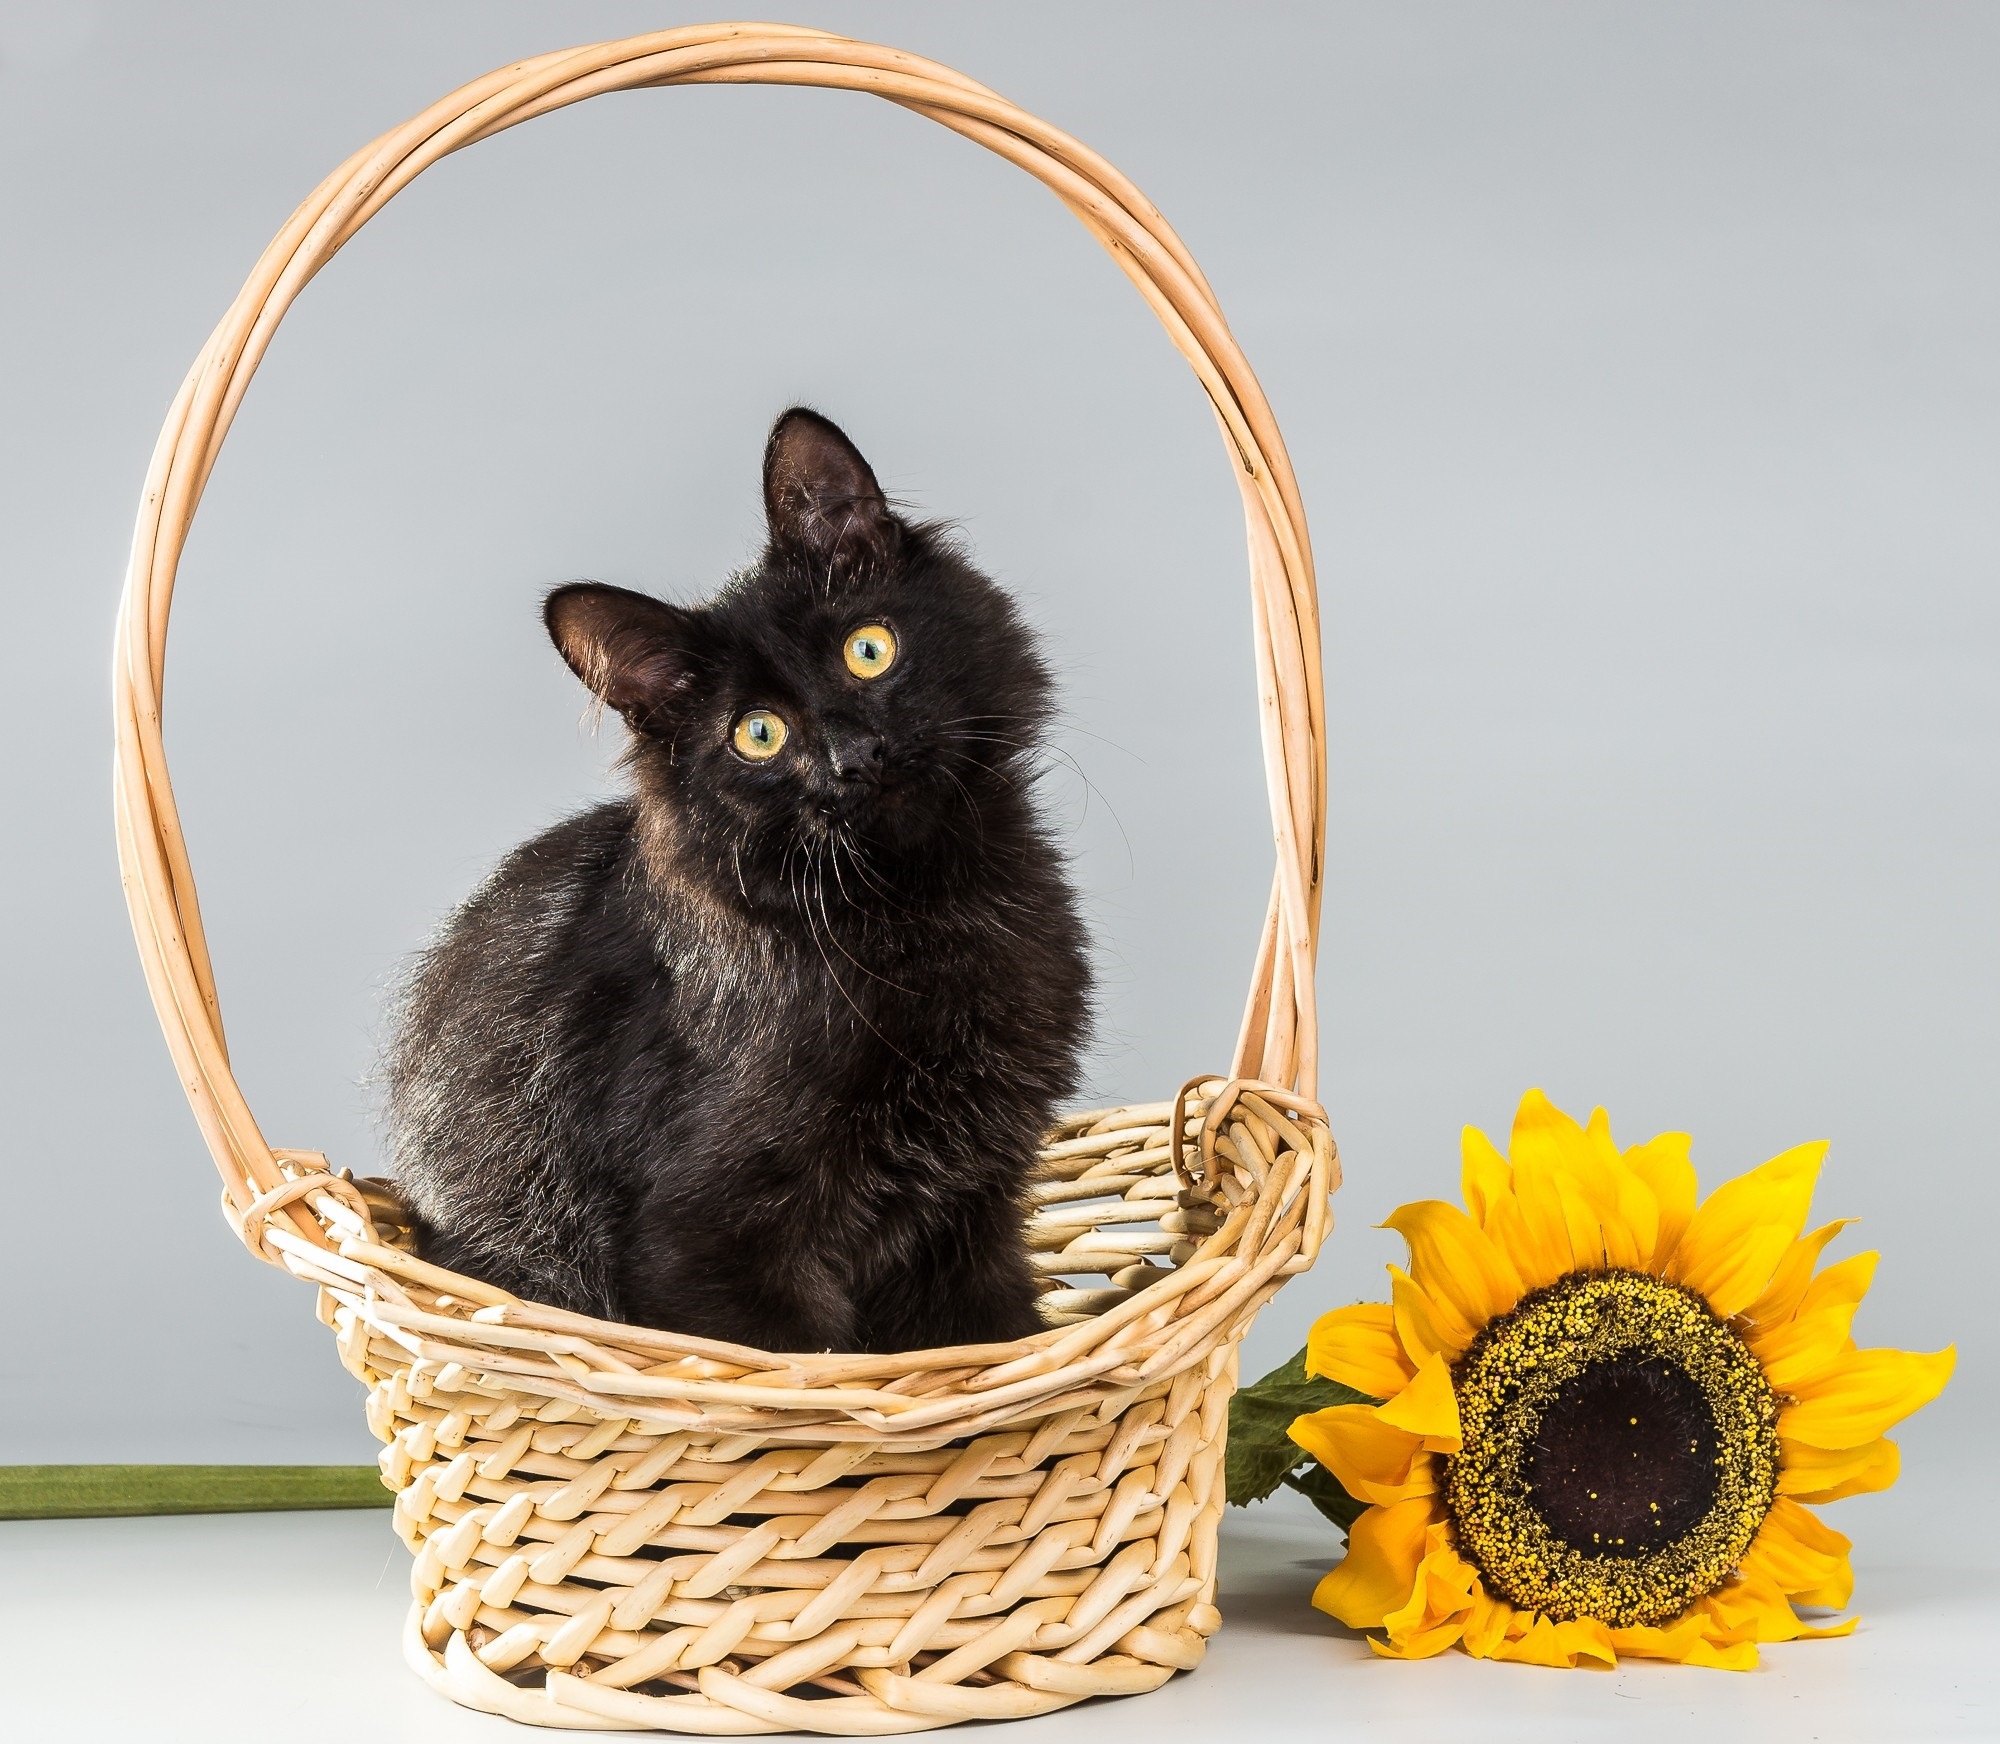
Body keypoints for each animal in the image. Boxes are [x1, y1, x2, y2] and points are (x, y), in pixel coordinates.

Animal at [388, 416, 1096, 1352]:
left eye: (868, 651)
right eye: (758, 734)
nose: (854, 755)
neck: (922, 903)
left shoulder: (971, 1208)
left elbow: (993, 1334)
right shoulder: (706, 1238)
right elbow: (807, 1360)